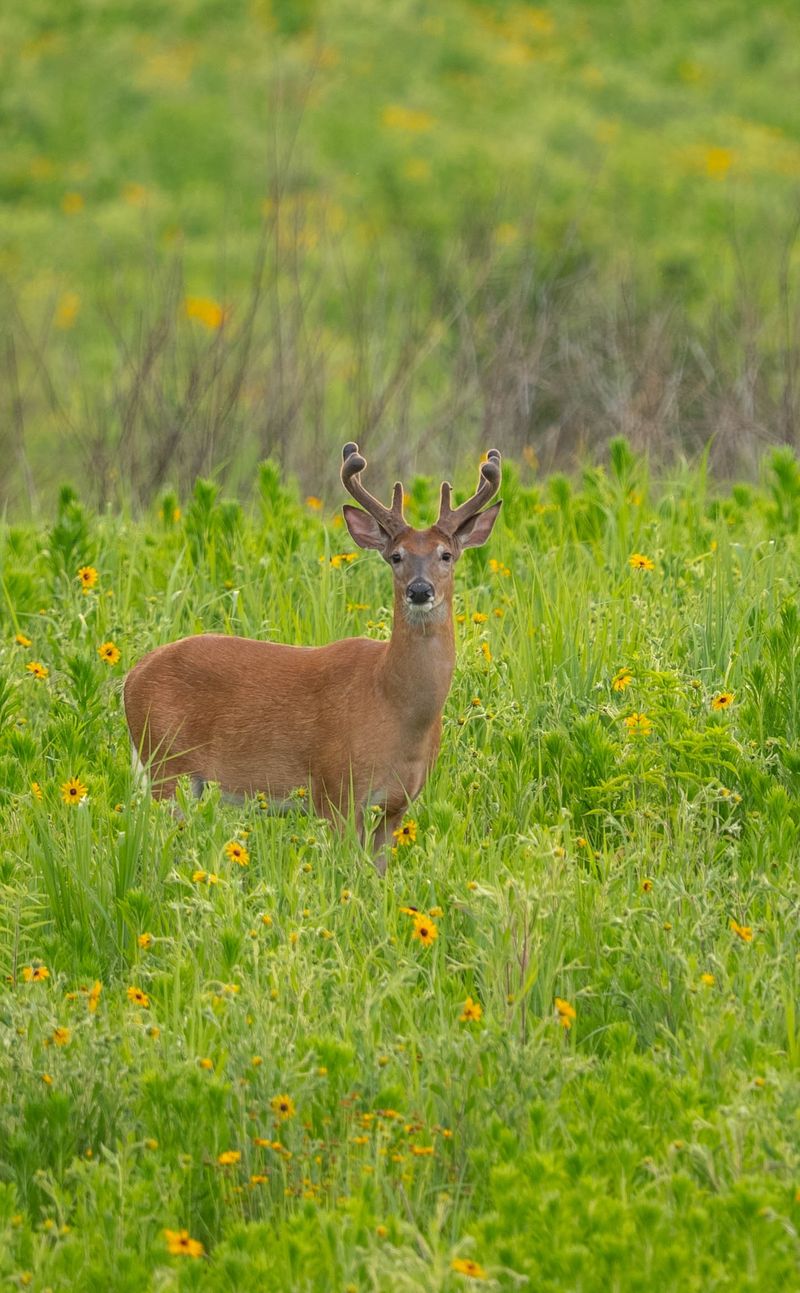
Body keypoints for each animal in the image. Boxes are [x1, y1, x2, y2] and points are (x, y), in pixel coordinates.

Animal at [123, 443, 501, 871]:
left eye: (446, 554)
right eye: (396, 556)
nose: (420, 591)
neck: (392, 703)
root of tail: (132, 676)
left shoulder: (397, 805)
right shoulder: (333, 787)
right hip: (165, 762)